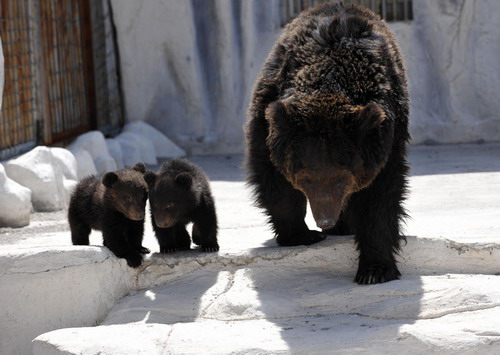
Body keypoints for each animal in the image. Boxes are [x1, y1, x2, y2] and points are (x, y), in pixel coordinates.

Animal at [245, 2, 410, 286]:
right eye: (304, 179)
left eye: (343, 178)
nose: (325, 220)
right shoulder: (270, 115)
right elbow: (272, 177)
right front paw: (302, 234)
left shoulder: (387, 136)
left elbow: (381, 197)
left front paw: (375, 270)